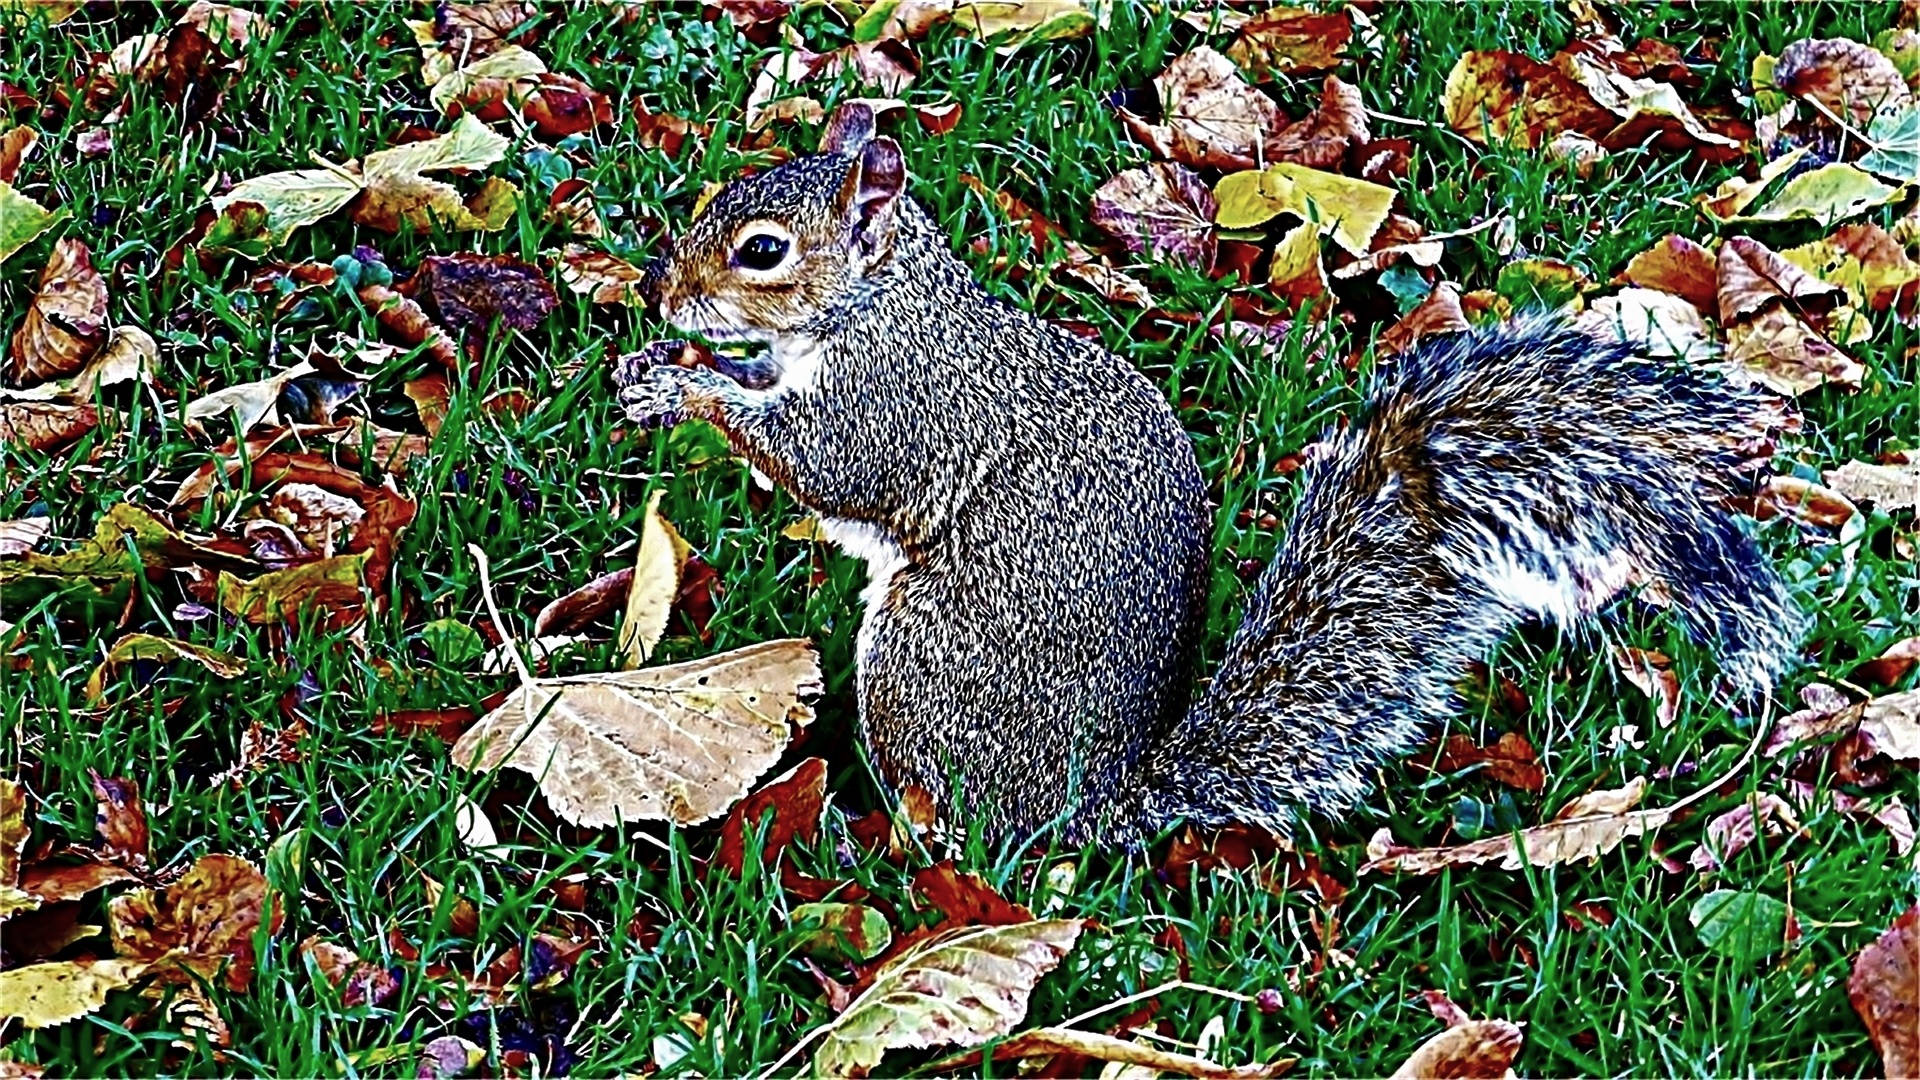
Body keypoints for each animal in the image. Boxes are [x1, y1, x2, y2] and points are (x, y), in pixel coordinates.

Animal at [610, 102, 1797, 841]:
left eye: (763, 250)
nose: (661, 292)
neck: (877, 299)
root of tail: (1084, 805)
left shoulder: (899, 400)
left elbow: (828, 463)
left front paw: (690, 390)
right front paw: (663, 366)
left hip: (918, 665)